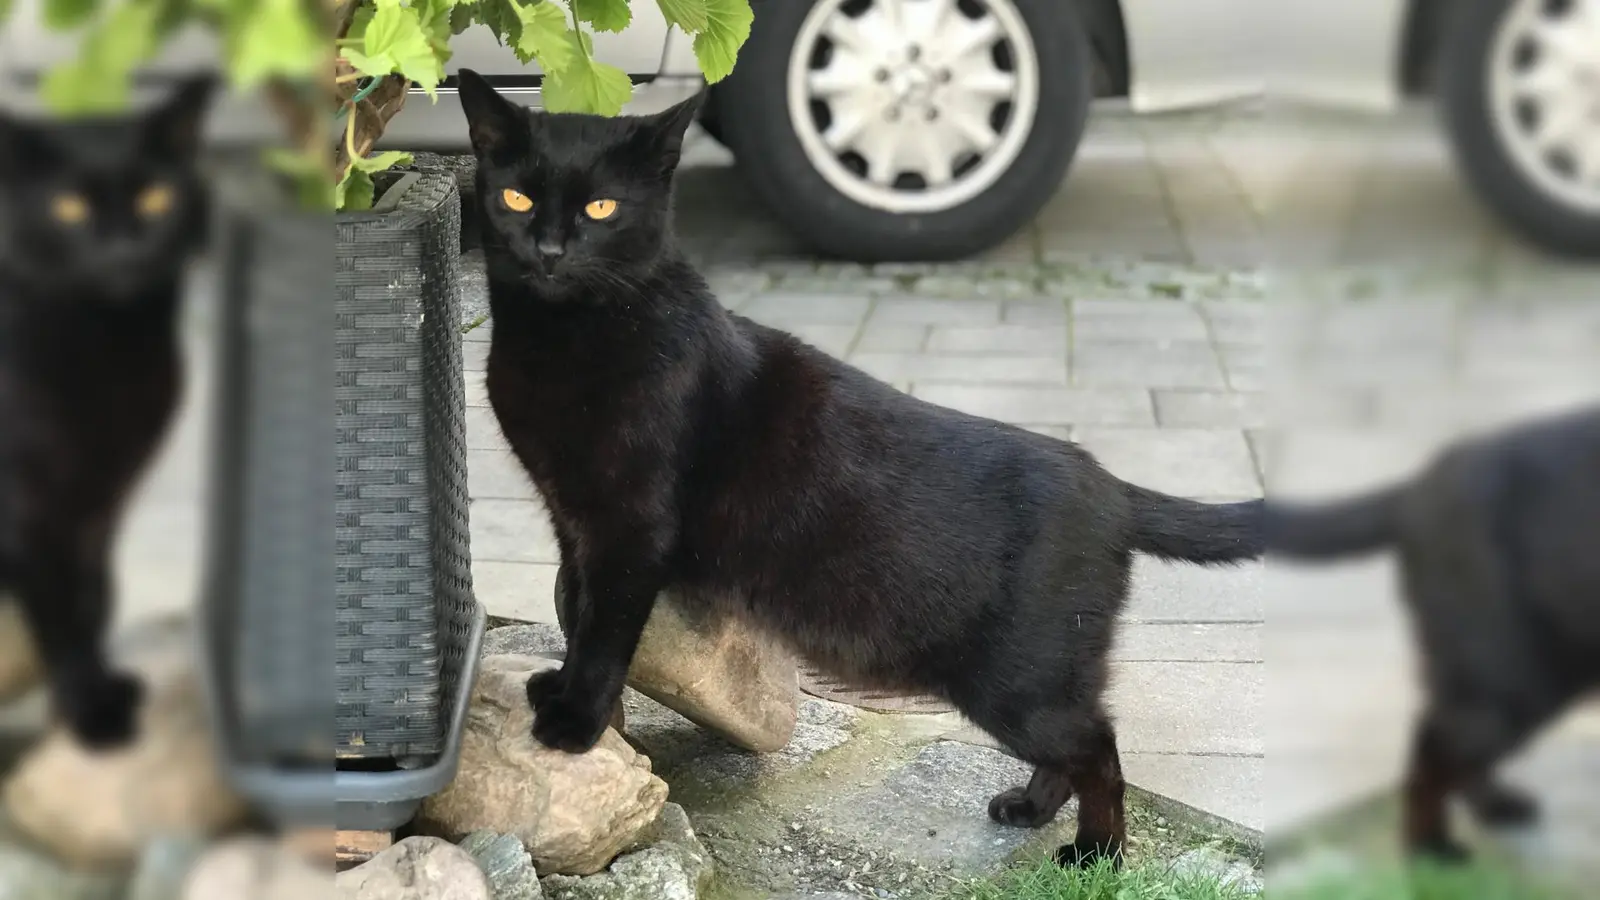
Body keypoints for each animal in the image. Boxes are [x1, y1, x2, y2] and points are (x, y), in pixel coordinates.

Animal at [0, 80, 212, 746]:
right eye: (68, 207)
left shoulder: (101, 506)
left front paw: (102, 690)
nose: (122, 247)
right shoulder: (31, 512)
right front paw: (90, 717)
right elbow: (62, 616)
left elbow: (92, 601)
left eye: (155, 196)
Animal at [457, 71, 1267, 864]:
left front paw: (577, 722)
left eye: (601, 207)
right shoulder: (574, 521)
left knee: (1097, 748)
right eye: (517, 198)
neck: (559, 343)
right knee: (1077, 745)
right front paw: (565, 690)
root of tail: (1109, 484)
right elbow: (577, 611)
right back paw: (1030, 810)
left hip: (1020, 678)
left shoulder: (629, 530)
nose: (550, 249)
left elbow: (602, 632)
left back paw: (1096, 853)